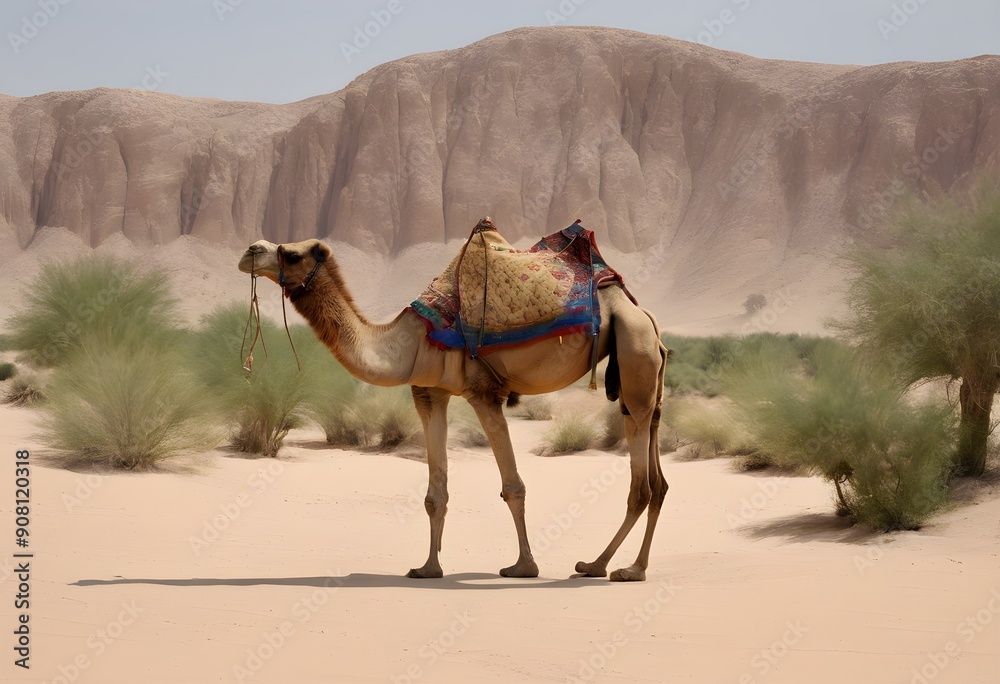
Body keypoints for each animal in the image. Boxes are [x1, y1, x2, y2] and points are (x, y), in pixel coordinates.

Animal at [237, 232, 668, 582]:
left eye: (292, 254)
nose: (249, 251)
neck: (407, 342)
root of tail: (640, 312)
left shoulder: (483, 392)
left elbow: (513, 487)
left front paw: (524, 567)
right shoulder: (429, 393)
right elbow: (435, 493)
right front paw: (428, 568)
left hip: (635, 349)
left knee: (641, 483)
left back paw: (612, 568)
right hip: (644, 371)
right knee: (658, 475)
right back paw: (622, 566)